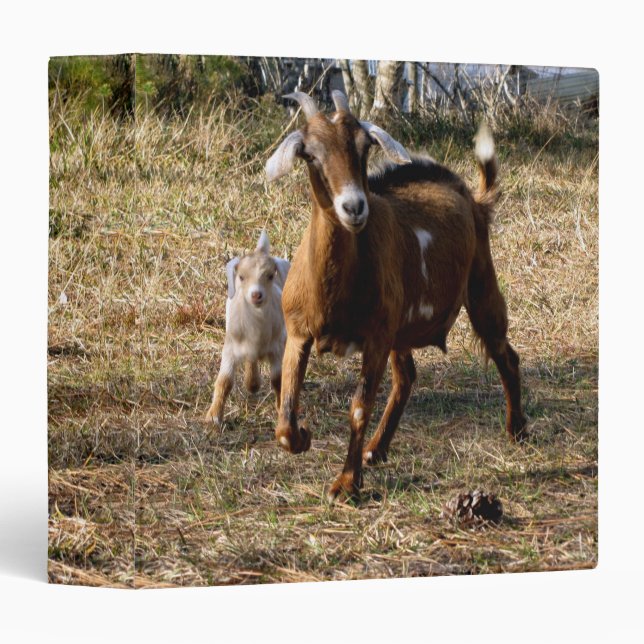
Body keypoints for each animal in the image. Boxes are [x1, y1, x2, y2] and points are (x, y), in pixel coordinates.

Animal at [205, 230, 290, 426]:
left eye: (270, 275)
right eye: (241, 277)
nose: (256, 294)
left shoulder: (277, 349)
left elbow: (278, 380)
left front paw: (281, 411)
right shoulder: (230, 347)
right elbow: (224, 381)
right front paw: (213, 416)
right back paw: (252, 383)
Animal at [265, 90, 527, 502]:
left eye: (364, 147)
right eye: (310, 154)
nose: (354, 207)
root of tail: (473, 197)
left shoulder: (376, 336)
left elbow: (359, 406)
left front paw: (346, 484)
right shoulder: (299, 331)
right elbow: (286, 415)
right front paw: (304, 438)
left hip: (480, 285)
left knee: (504, 352)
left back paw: (517, 429)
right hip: (400, 327)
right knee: (407, 376)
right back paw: (376, 449)